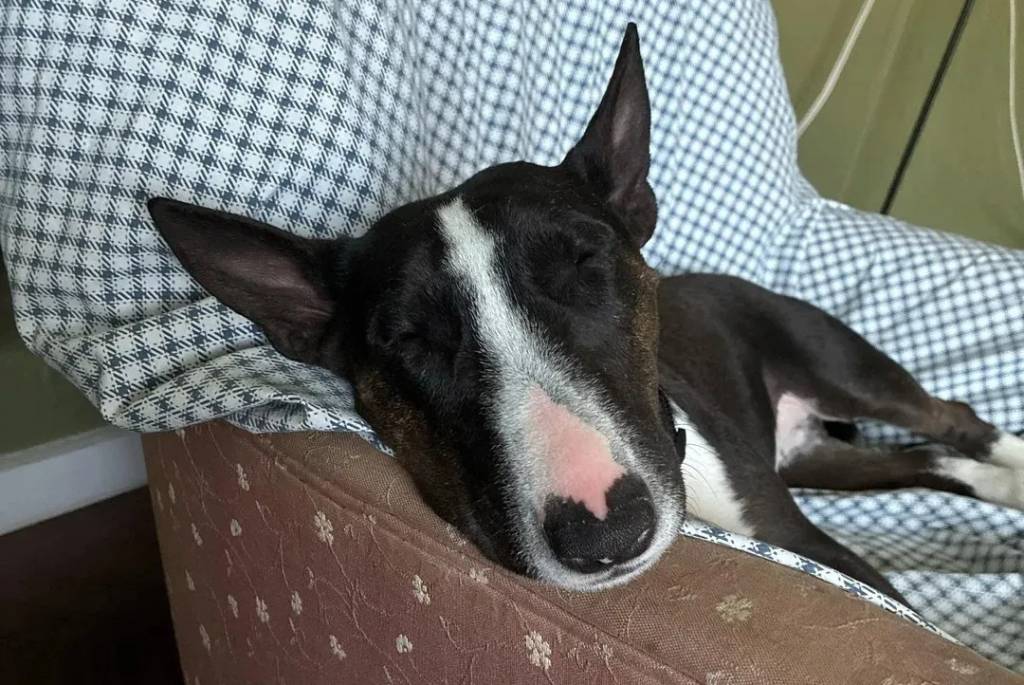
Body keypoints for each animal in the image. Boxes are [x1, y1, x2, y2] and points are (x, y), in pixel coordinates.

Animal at [147, 24, 1024, 603]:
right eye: (406, 338)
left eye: (585, 263)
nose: (607, 532)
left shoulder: (830, 556)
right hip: (811, 454)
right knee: (936, 457)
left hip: (839, 365)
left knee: (954, 416)